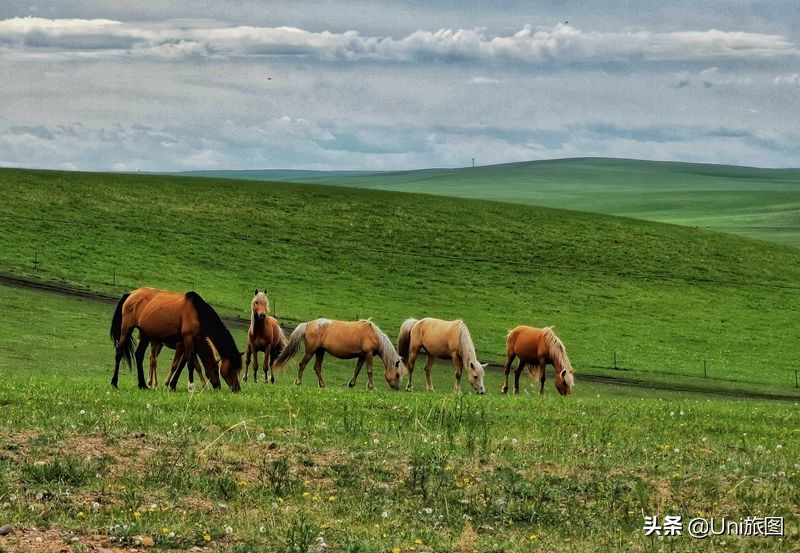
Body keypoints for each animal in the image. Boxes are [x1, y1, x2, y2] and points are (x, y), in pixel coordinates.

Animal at [108, 286, 244, 390]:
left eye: (239, 369)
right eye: (230, 368)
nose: (237, 388)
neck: (197, 313)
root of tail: (131, 294)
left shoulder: (188, 343)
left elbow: (182, 364)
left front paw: (172, 386)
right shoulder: (187, 339)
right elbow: (190, 364)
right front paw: (191, 387)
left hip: (145, 334)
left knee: (140, 355)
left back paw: (143, 385)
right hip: (126, 329)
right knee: (119, 353)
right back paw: (114, 383)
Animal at [272, 316, 406, 390]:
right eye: (397, 374)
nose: (397, 388)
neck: (374, 335)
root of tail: (308, 324)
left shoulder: (362, 356)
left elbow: (357, 370)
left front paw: (351, 384)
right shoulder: (368, 354)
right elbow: (369, 371)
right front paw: (371, 386)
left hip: (320, 351)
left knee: (317, 367)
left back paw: (323, 385)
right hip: (311, 351)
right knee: (302, 364)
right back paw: (298, 382)